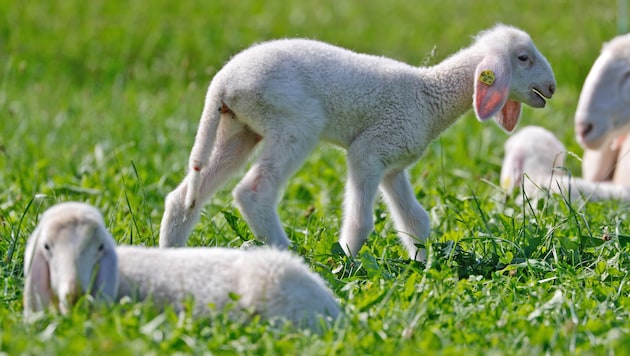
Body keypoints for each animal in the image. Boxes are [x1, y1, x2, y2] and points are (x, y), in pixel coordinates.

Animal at [159, 23, 556, 260]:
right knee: (253, 192)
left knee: (184, 196)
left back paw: (171, 256)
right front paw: (347, 260)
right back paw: (291, 257)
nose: (551, 88)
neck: (428, 97)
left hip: (239, 127)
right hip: (294, 122)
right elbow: (360, 221)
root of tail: (221, 82)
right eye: (524, 58)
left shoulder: (393, 164)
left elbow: (416, 220)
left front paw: (424, 264)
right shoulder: (369, 151)